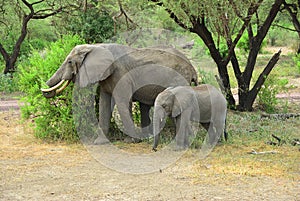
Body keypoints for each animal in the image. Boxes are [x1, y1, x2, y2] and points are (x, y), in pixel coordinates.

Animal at [41, 44, 198, 144]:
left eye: (69, 61)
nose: (42, 89)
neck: (96, 46)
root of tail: (192, 70)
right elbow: (104, 104)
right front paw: (100, 142)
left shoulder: (121, 74)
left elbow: (122, 102)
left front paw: (131, 141)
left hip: (179, 79)